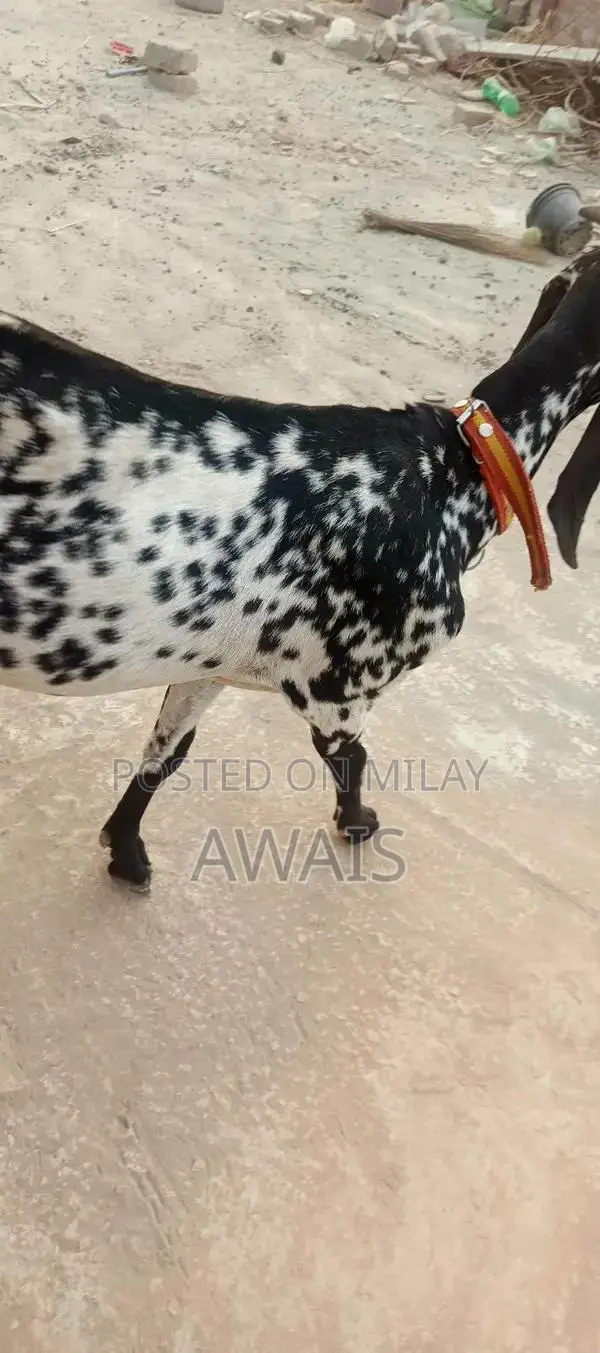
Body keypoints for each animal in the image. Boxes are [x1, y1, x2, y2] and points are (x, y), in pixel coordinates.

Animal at [1, 249, 599, 890]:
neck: (451, 471)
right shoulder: (337, 689)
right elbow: (352, 757)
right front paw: (358, 824)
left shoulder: (208, 661)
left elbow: (168, 750)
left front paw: (126, 848)